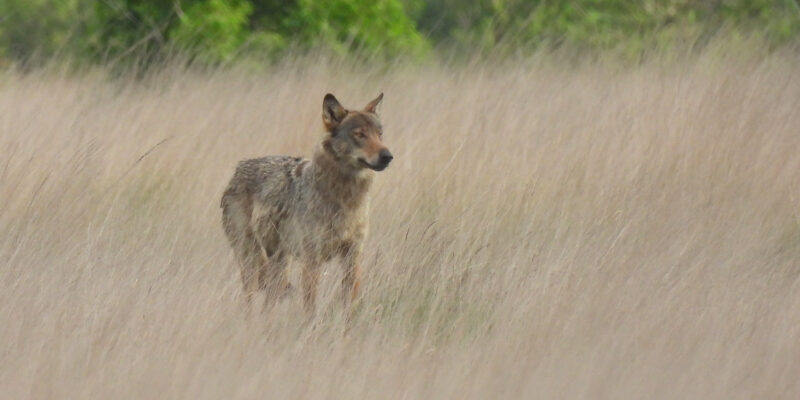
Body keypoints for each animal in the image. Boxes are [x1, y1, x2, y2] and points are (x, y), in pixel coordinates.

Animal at [220, 93, 392, 312]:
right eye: (359, 135)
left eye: (379, 134)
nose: (387, 156)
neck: (345, 200)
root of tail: (238, 169)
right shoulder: (312, 262)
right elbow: (310, 309)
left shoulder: (353, 259)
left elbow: (349, 311)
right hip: (252, 262)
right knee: (249, 303)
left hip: (280, 266)